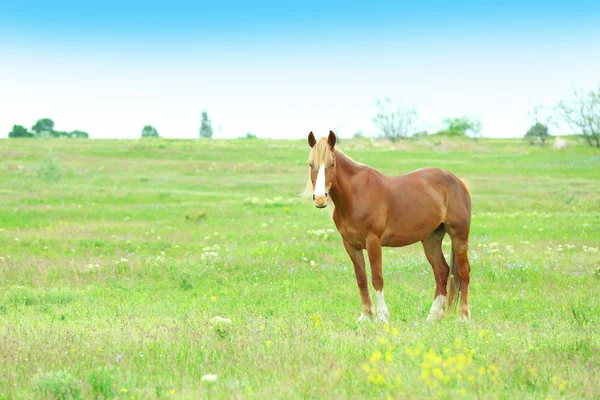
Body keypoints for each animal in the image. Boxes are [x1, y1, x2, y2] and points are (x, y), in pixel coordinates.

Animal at [308, 130, 472, 324]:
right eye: (311, 164)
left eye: (332, 164)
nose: (320, 198)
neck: (355, 195)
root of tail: (459, 182)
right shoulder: (350, 245)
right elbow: (361, 278)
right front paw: (365, 315)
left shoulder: (373, 242)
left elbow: (377, 278)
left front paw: (381, 316)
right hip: (431, 239)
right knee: (441, 271)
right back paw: (433, 315)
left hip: (459, 236)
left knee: (463, 272)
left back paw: (463, 316)